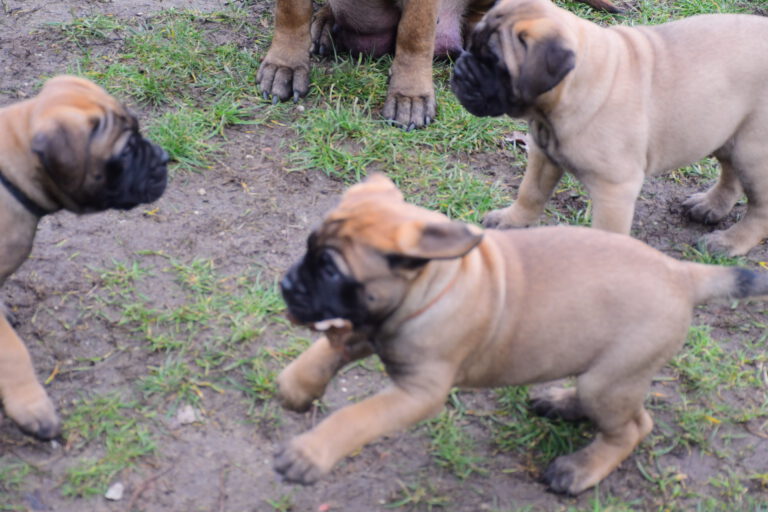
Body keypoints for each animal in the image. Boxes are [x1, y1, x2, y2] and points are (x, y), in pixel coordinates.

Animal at [275, 173, 768, 495]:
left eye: (331, 270)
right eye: (309, 248)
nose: (286, 284)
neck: (432, 287)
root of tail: (681, 273)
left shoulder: (418, 392)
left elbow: (357, 416)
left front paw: (310, 453)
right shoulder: (363, 326)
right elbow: (323, 352)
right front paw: (297, 386)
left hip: (611, 379)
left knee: (632, 427)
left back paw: (580, 469)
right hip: (602, 373)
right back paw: (561, 403)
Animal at [451, 0, 768, 256]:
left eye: (494, 63)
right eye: (471, 45)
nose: (459, 70)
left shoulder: (614, 189)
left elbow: (606, 232)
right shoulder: (542, 155)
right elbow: (530, 192)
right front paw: (511, 220)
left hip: (753, 154)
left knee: (759, 209)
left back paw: (730, 241)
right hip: (726, 133)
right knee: (730, 174)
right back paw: (711, 206)